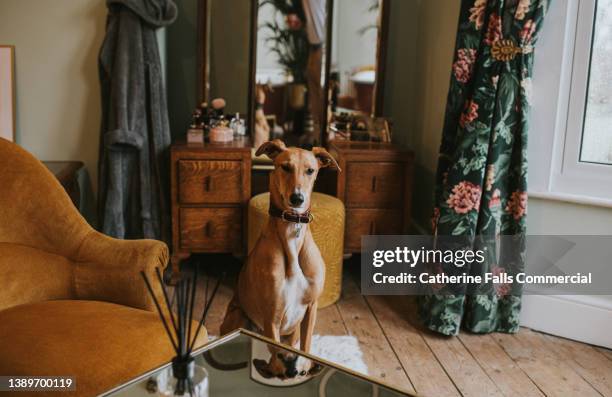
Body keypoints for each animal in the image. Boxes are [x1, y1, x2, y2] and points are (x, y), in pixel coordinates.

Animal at [222, 139, 342, 378]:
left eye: (310, 170)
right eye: (285, 167)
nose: (297, 198)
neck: (291, 232)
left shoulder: (311, 309)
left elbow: (306, 348)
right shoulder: (272, 317)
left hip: (292, 331)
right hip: (239, 317)